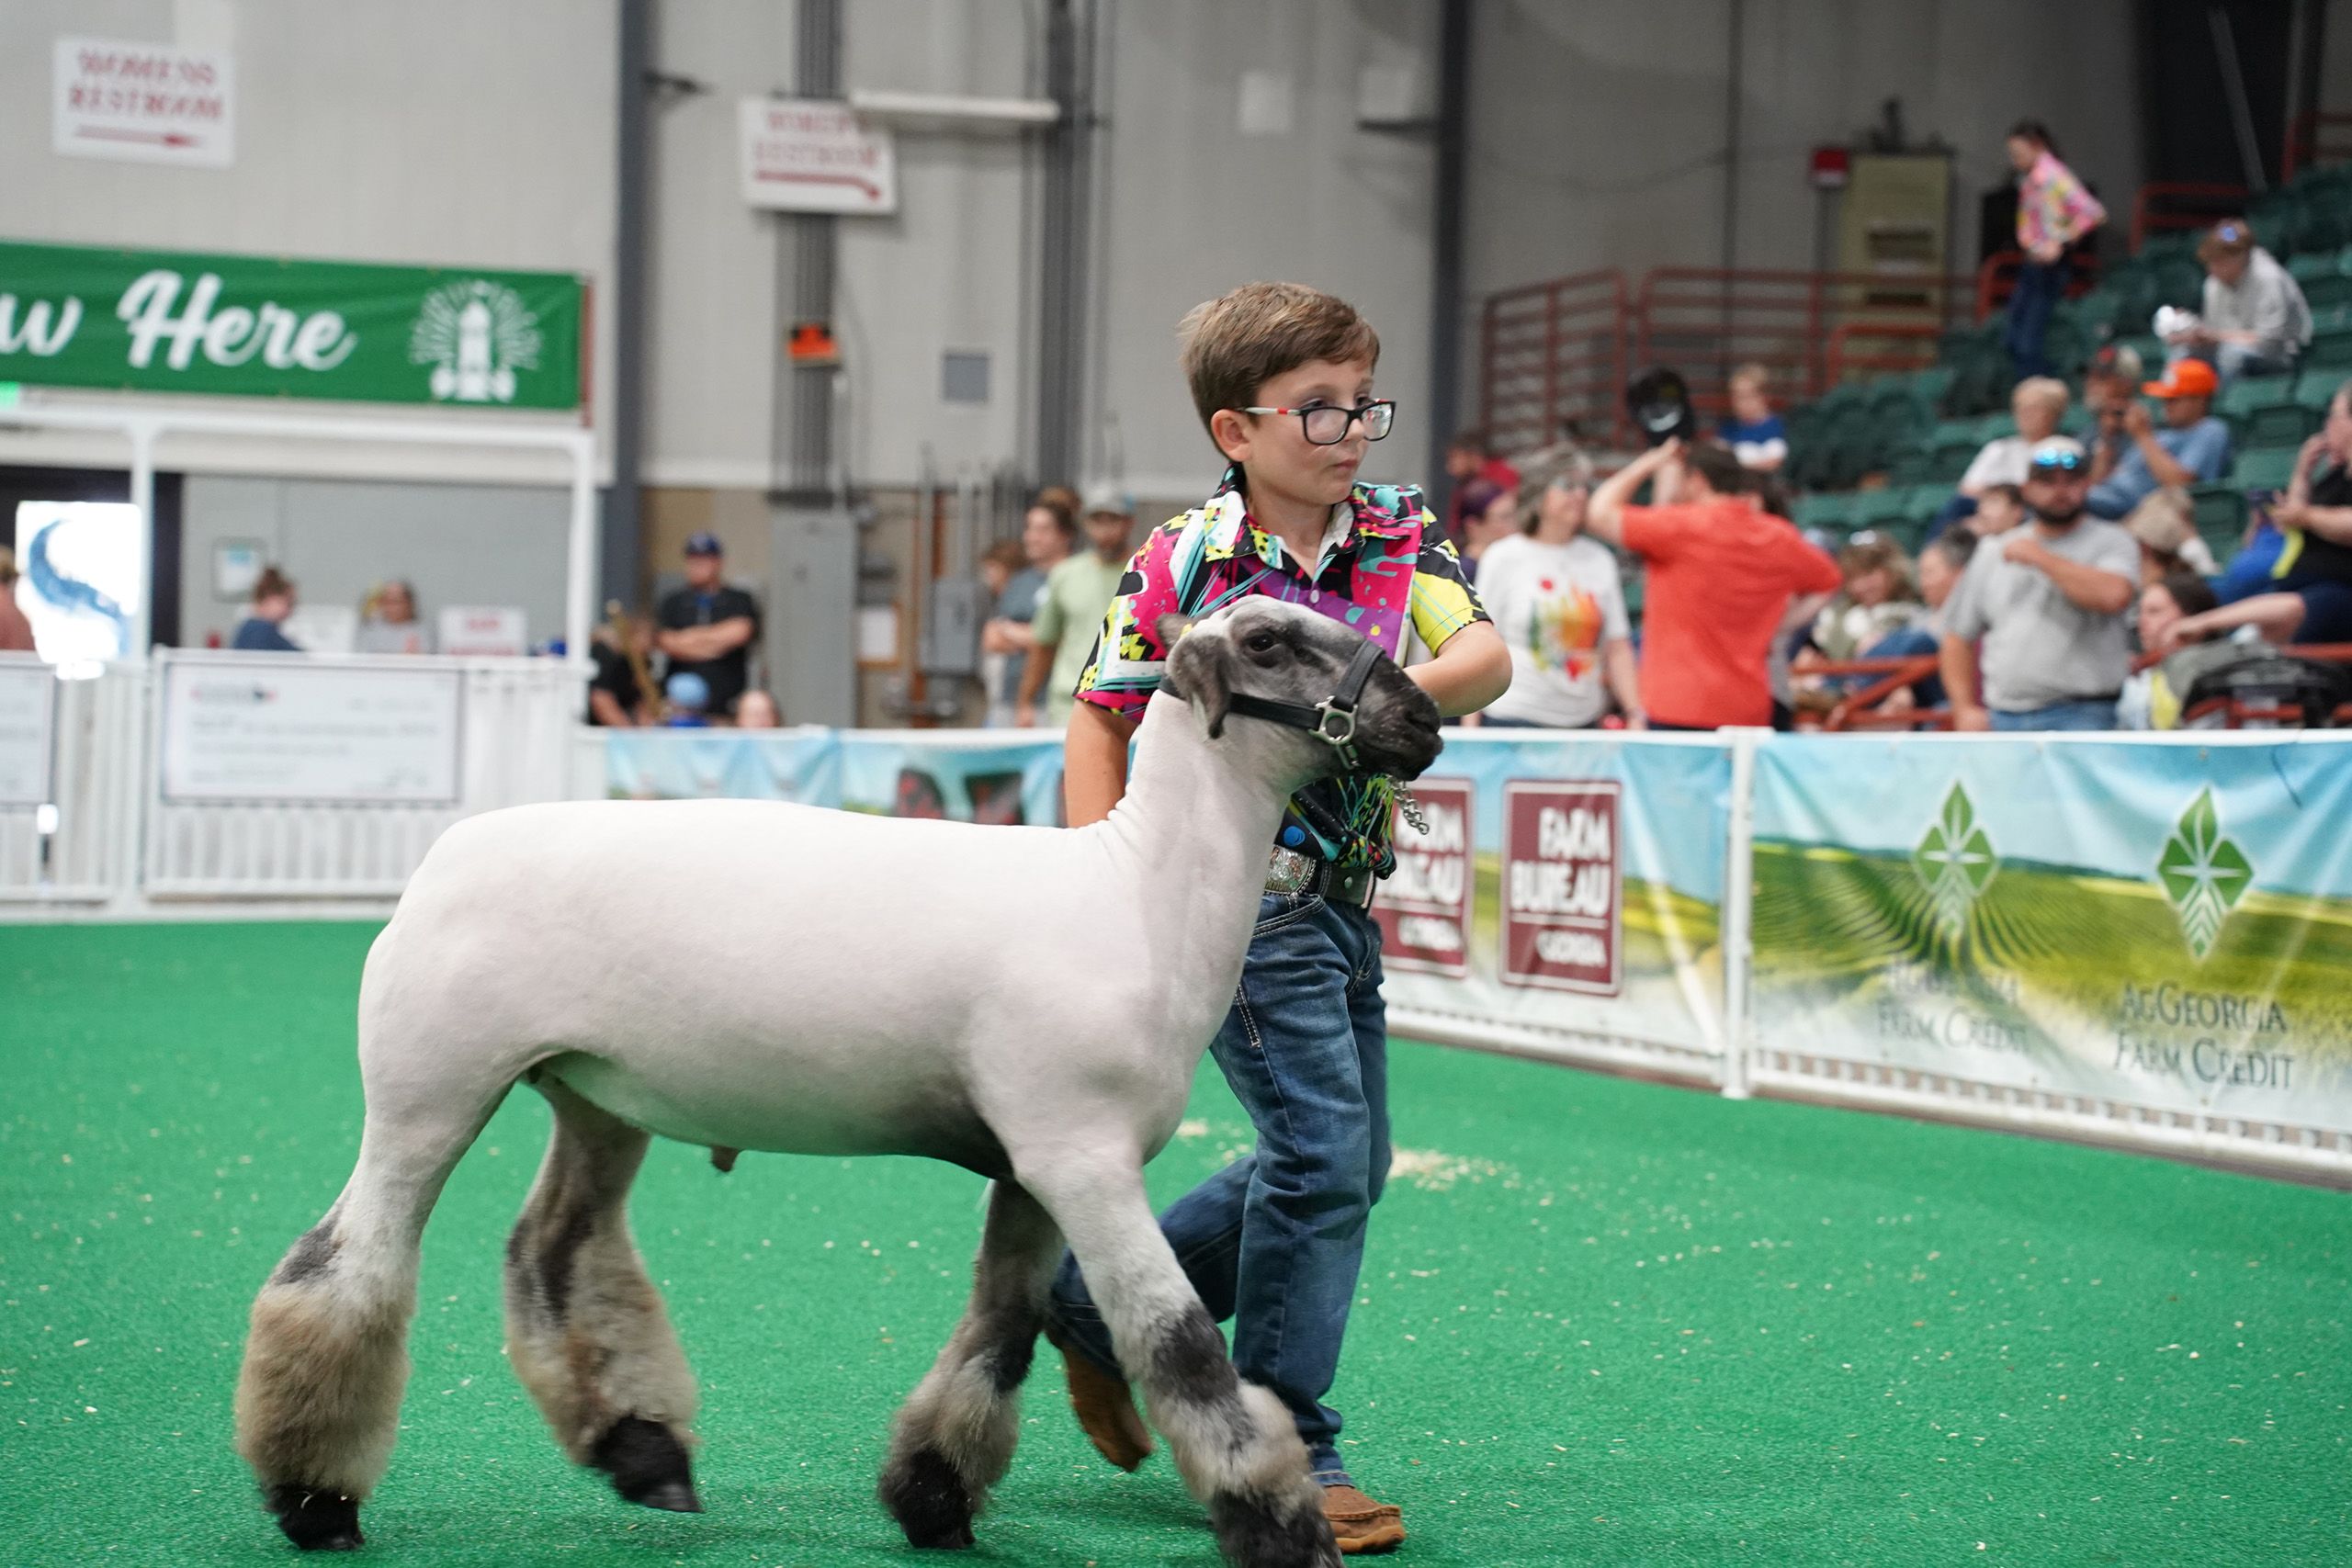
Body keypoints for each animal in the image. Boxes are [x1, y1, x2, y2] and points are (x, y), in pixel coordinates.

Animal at [232, 596, 1443, 1568]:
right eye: (1269, 640)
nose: (1425, 718)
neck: (1138, 896)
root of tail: (447, 856)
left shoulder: (1027, 1165)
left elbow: (999, 1329)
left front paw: (934, 1500)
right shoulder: (1080, 1153)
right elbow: (1181, 1348)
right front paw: (1279, 1529)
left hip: (595, 1093)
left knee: (553, 1248)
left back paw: (643, 1453)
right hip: (429, 1087)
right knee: (345, 1268)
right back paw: (316, 1499)